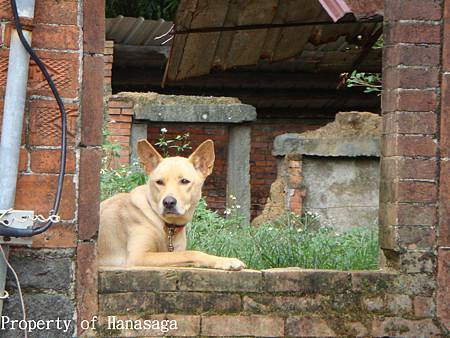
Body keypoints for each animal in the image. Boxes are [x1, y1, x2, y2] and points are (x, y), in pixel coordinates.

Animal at [97, 139, 246, 270]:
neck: (167, 227)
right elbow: (191, 253)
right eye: (159, 182)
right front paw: (227, 261)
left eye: (184, 181)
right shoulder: (139, 256)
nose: (168, 202)